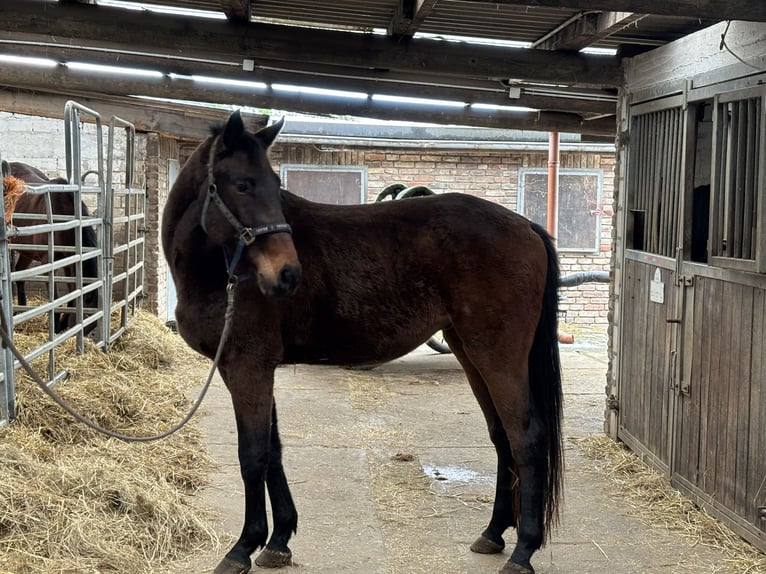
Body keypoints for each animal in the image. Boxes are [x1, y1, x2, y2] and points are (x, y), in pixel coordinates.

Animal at [1, 160, 99, 334]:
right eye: (87, 316)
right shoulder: (49, 262)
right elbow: (55, 296)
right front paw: (55, 325)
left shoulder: (69, 262)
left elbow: (72, 291)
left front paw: (61, 325)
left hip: (27, 250)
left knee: (19, 272)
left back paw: (21, 310)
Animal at [162, 110, 563, 574]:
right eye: (243, 184)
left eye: (273, 184)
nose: (288, 274)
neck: (220, 270)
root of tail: (526, 226)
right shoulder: (255, 370)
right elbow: (273, 452)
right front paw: (278, 541)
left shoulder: (247, 368)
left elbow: (254, 456)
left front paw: (244, 546)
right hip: (470, 351)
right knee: (502, 437)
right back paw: (494, 533)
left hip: (498, 355)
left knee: (525, 437)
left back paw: (523, 550)